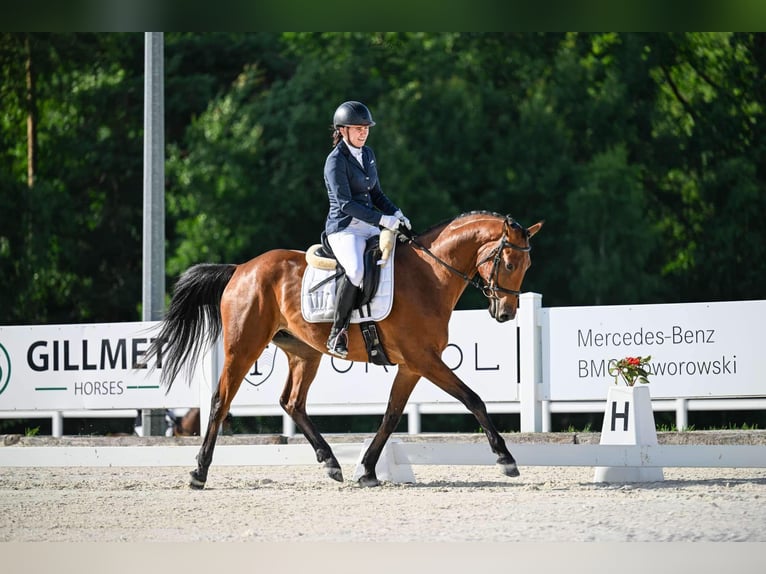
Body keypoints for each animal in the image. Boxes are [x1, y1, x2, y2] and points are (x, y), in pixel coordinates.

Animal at [150, 213, 544, 490]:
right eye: (510, 264)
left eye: (527, 267)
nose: (506, 313)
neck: (430, 276)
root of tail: (241, 269)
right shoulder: (424, 360)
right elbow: (473, 398)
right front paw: (506, 459)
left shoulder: (412, 366)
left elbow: (391, 415)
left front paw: (367, 469)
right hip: (243, 347)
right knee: (220, 401)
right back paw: (199, 472)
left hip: (304, 353)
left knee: (292, 402)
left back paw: (330, 462)